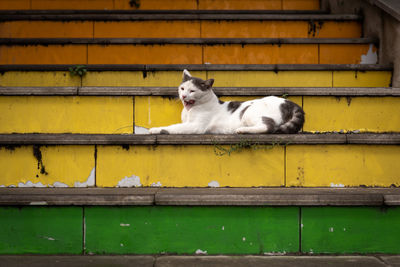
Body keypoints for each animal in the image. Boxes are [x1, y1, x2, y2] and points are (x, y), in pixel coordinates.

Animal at [148, 70, 304, 135]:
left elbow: (172, 127)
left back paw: (242, 130)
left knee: (268, 127)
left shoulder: (196, 126)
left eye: (192, 91)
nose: (184, 96)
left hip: (249, 112)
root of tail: (289, 102)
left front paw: (155, 129)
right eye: (182, 88)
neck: (190, 110)